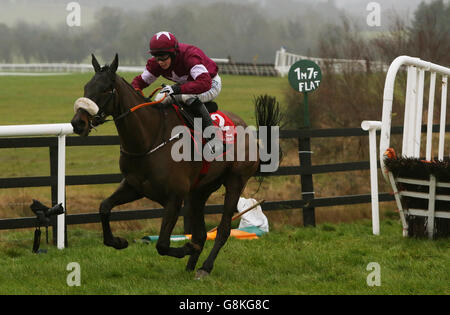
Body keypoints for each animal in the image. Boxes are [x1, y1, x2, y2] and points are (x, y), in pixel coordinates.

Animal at [69, 54, 282, 278]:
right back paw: (190, 266)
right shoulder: (135, 186)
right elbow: (104, 207)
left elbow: (162, 244)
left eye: (104, 89)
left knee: (223, 230)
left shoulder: (174, 197)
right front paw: (118, 241)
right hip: (200, 191)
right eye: (86, 87)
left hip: (235, 181)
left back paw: (205, 267)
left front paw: (186, 248)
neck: (149, 138)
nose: (78, 123)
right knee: (202, 233)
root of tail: (249, 131)